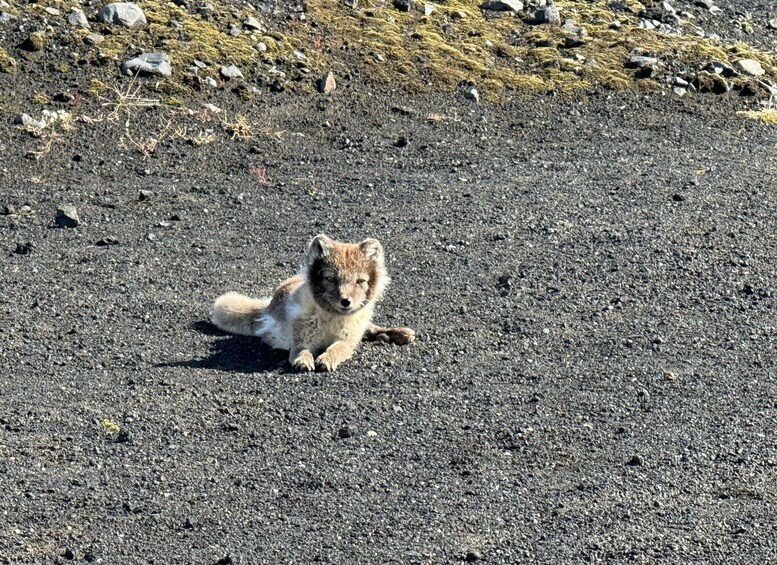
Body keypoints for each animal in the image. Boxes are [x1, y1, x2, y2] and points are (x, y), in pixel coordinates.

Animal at [209, 234, 416, 370]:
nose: (346, 302)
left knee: (370, 328)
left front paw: (326, 359)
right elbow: (300, 350)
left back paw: (398, 334)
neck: (332, 321)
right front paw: (303, 360)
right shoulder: (301, 336)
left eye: (360, 281)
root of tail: (269, 305)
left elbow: (338, 348)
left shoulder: (347, 339)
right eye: (331, 279)